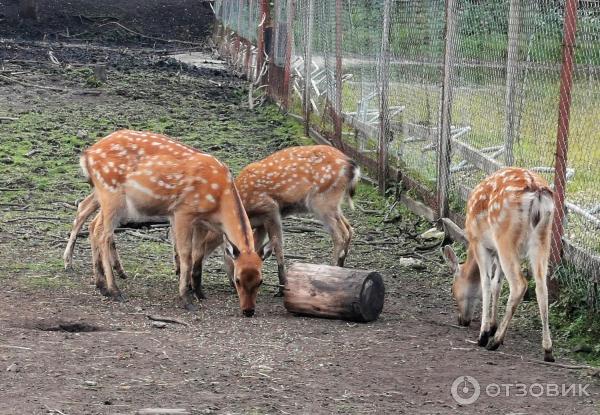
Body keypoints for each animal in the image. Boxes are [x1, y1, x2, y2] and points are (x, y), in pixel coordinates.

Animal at [75, 129, 268, 316]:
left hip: (106, 198)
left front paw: (199, 292)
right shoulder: (183, 211)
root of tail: (87, 154)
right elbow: (185, 254)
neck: (219, 201)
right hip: (111, 195)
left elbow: (198, 254)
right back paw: (114, 291)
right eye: (237, 280)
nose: (248, 311)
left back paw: (101, 285)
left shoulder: (201, 221)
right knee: (103, 235)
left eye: (260, 281)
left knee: (94, 227)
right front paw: (186, 298)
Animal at [438, 167, 556, 362]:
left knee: (519, 284)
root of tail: (537, 192)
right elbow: (496, 285)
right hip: (543, 238)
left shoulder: (480, 244)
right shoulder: (496, 254)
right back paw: (548, 350)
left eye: (452, 289)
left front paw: (485, 333)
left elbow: (486, 284)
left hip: (505, 238)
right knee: (541, 287)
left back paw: (494, 341)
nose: (461, 320)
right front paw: (493, 325)